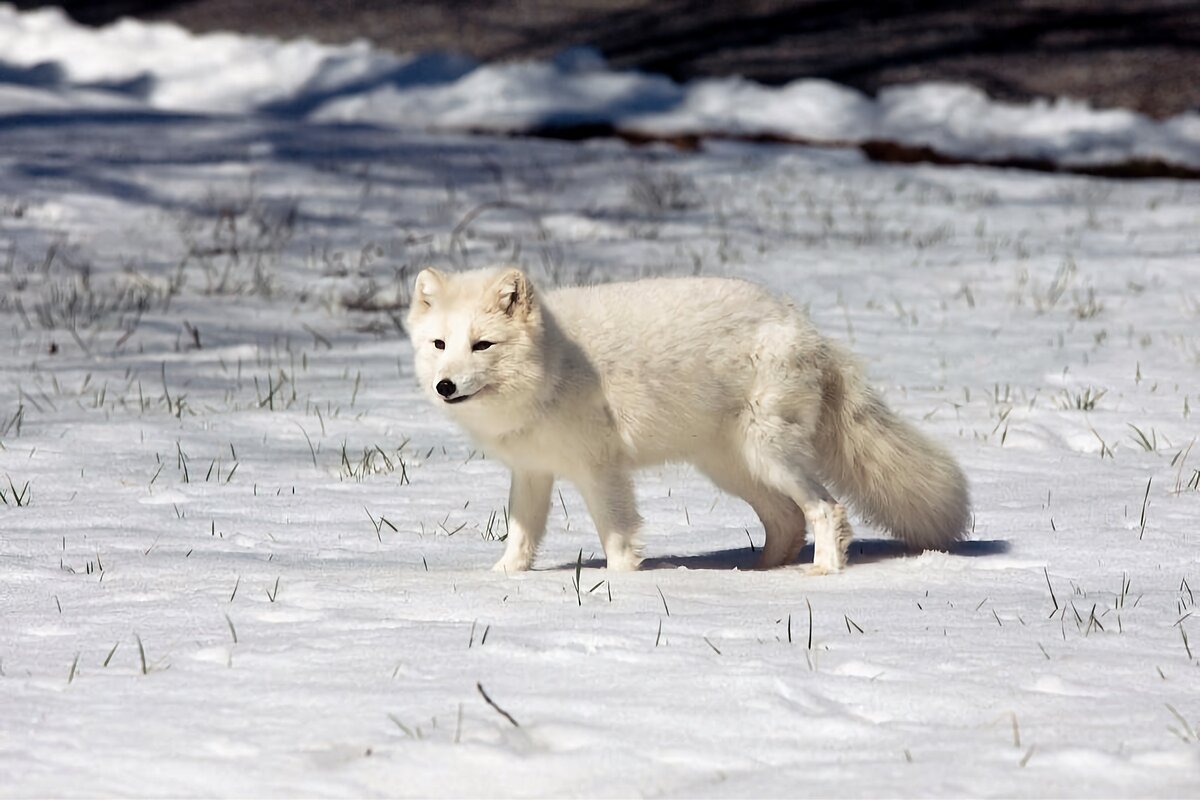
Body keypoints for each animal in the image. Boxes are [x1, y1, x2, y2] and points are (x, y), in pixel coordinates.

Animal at [408, 268, 969, 575]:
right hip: (733, 468)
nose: (445, 386)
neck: (554, 364)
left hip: (769, 456)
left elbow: (618, 538)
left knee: (826, 509)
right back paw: (753, 573)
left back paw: (823, 571)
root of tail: (806, 327)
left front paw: (620, 583)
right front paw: (502, 578)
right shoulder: (532, 471)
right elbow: (521, 537)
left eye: (483, 345)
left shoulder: (600, 469)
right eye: (440, 344)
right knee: (787, 521)